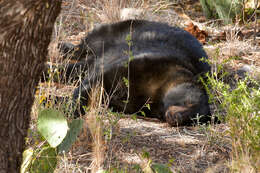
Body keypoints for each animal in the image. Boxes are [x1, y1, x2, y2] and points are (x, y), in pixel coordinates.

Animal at [57, 19, 211, 126]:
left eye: (193, 120)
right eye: (187, 102)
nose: (176, 119)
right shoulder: (142, 62)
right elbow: (95, 82)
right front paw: (65, 105)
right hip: (119, 33)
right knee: (85, 48)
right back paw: (63, 49)